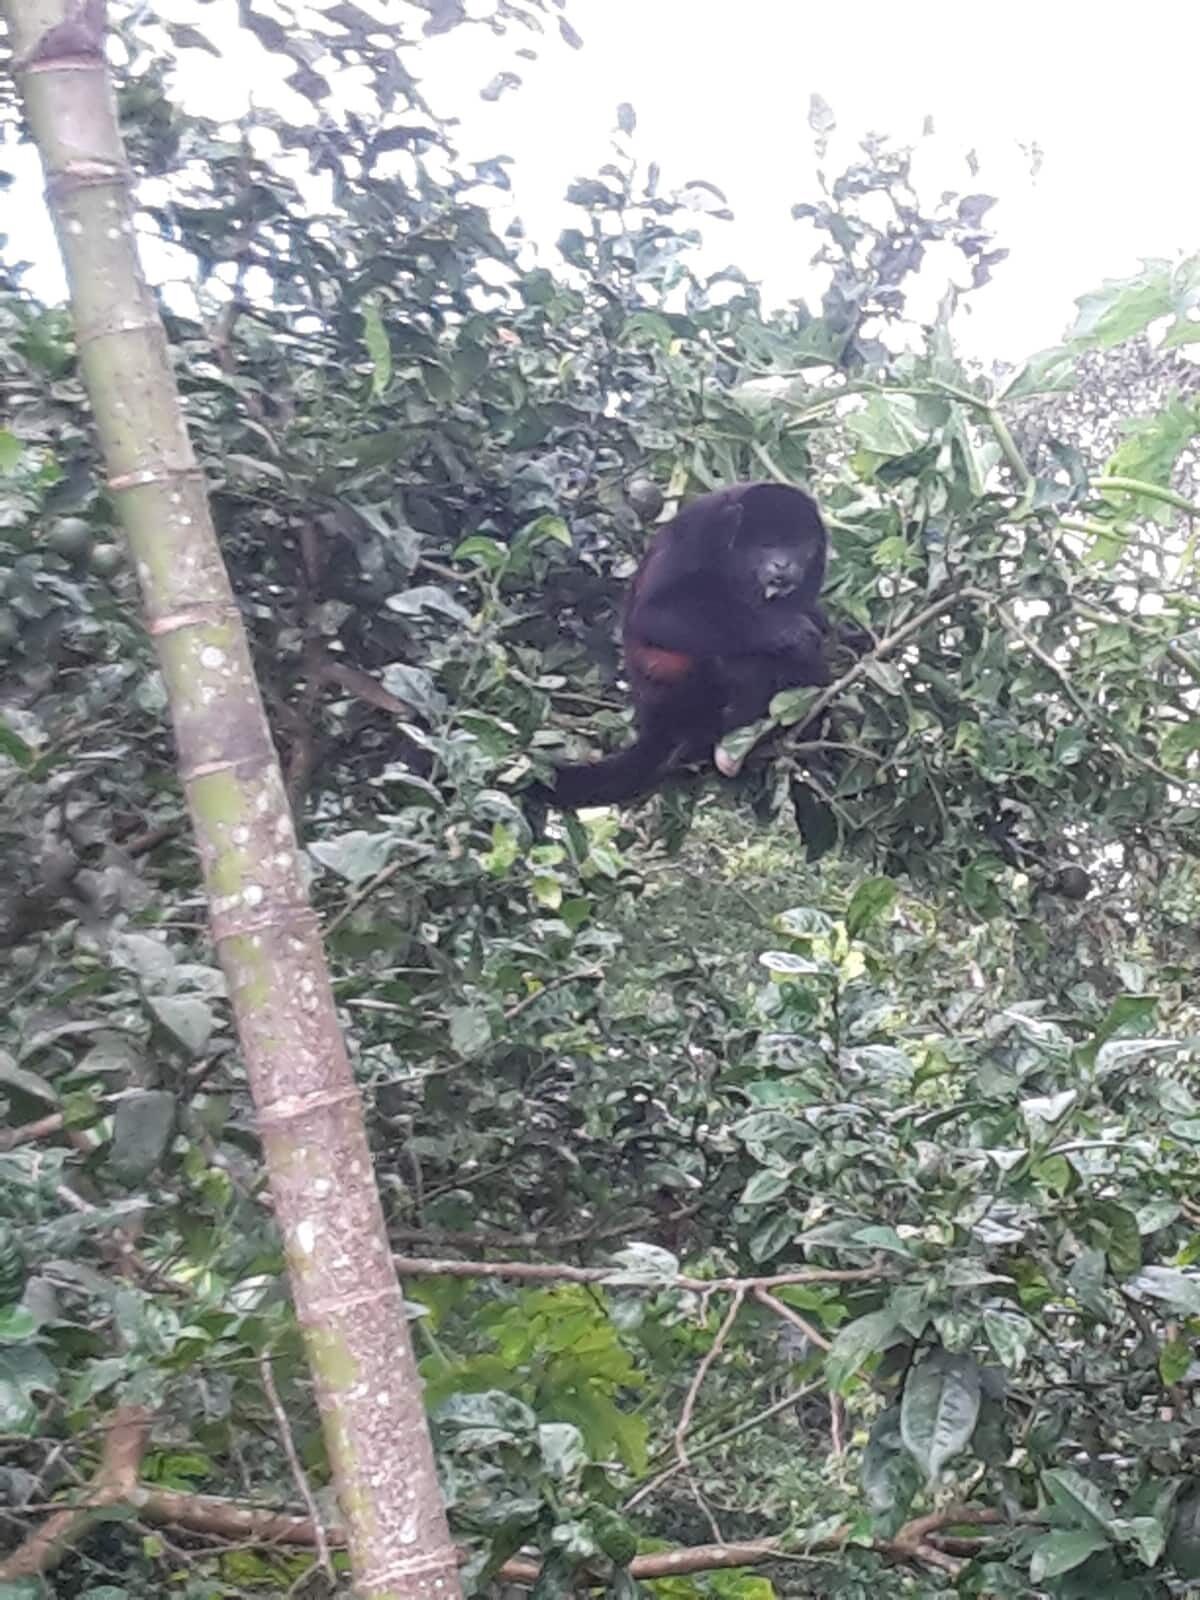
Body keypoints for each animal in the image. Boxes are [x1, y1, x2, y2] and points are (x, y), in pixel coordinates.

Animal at [537, 481, 832, 809]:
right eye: (766, 545)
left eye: (797, 545)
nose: (782, 563)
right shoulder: (700, 531)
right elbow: (656, 613)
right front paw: (791, 630)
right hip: (676, 693)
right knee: (731, 655)